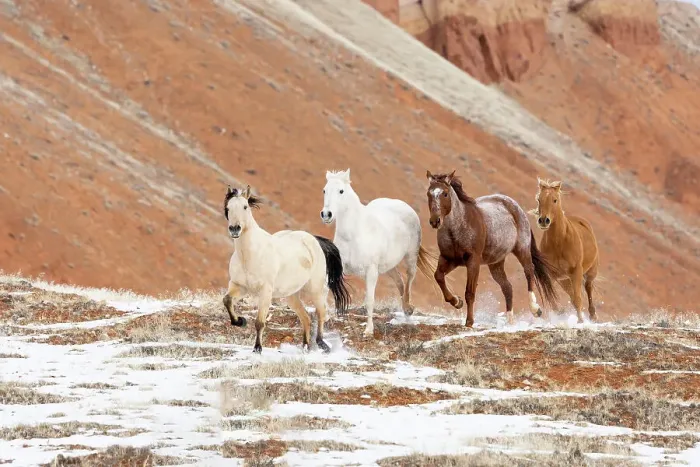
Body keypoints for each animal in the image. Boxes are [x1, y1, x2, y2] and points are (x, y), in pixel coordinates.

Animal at [222, 185, 350, 353]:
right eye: (228, 208)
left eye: (245, 207)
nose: (235, 229)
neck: (250, 255)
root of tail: (314, 240)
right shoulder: (239, 286)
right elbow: (227, 300)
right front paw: (240, 321)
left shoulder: (265, 291)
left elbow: (259, 322)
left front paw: (257, 348)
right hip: (292, 296)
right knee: (306, 318)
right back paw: (305, 347)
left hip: (315, 289)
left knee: (321, 313)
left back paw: (322, 344)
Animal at [320, 169, 437, 337]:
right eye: (324, 190)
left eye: (341, 191)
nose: (326, 214)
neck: (353, 234)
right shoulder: (338, 267)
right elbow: (324, 290)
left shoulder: (371, 272)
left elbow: (370, 301)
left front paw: (369, 330)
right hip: (389, 266)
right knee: (400, 282)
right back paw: (406, 308)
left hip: (410, 257)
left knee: (409, 278)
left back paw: (409, 309)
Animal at [425, 170, 559, 327]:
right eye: (429, 193)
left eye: (445, 193)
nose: (435, 221)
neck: (457, 229)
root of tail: (514, 205)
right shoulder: (448, 259)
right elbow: (438, 276)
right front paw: (457, 302)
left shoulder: (473, 262)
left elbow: (470, 292)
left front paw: (469, 322)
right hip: (496, 263)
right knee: (507, 287)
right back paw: (510, 322)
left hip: (522, 249)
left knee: (529, 271)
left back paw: (535, 309)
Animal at [529, 178, 599, 323]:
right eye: (539, 199)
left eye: (555, 200)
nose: (543, 220)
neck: (559, 243)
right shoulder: (553, 275)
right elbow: (567, 299)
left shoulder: (576, 271)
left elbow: (577, 298)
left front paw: (580, 321)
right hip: (565, 279)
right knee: (573, 295)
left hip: (590, 272)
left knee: (588, 288)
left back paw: (592, 315)